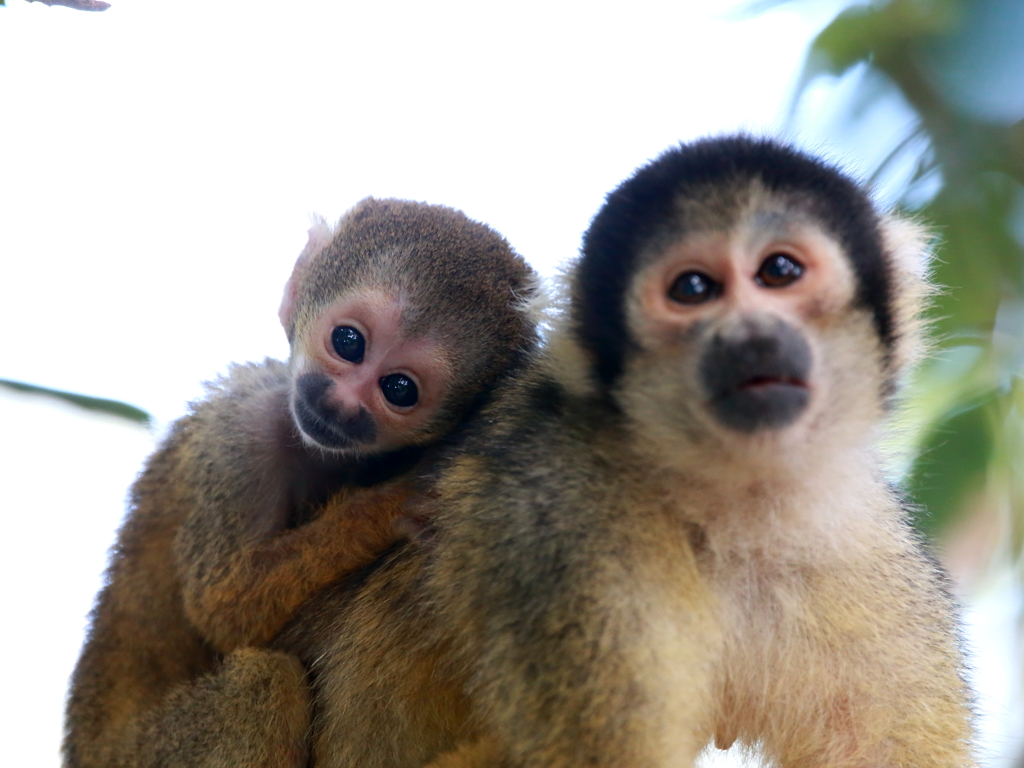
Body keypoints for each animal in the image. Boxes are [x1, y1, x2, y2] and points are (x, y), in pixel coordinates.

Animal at [61, 198, 544, 768]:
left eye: (399, 389)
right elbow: (225, 607)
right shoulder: (240, 435)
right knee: (263, 684)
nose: (339, 405)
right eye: (348, 342)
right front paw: (388, 506)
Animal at [278, 137, 974, 768]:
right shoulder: (559, 526)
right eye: (692, 288)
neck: (733, 503)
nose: (751, 337)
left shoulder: (867, 548)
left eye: (780, 272)